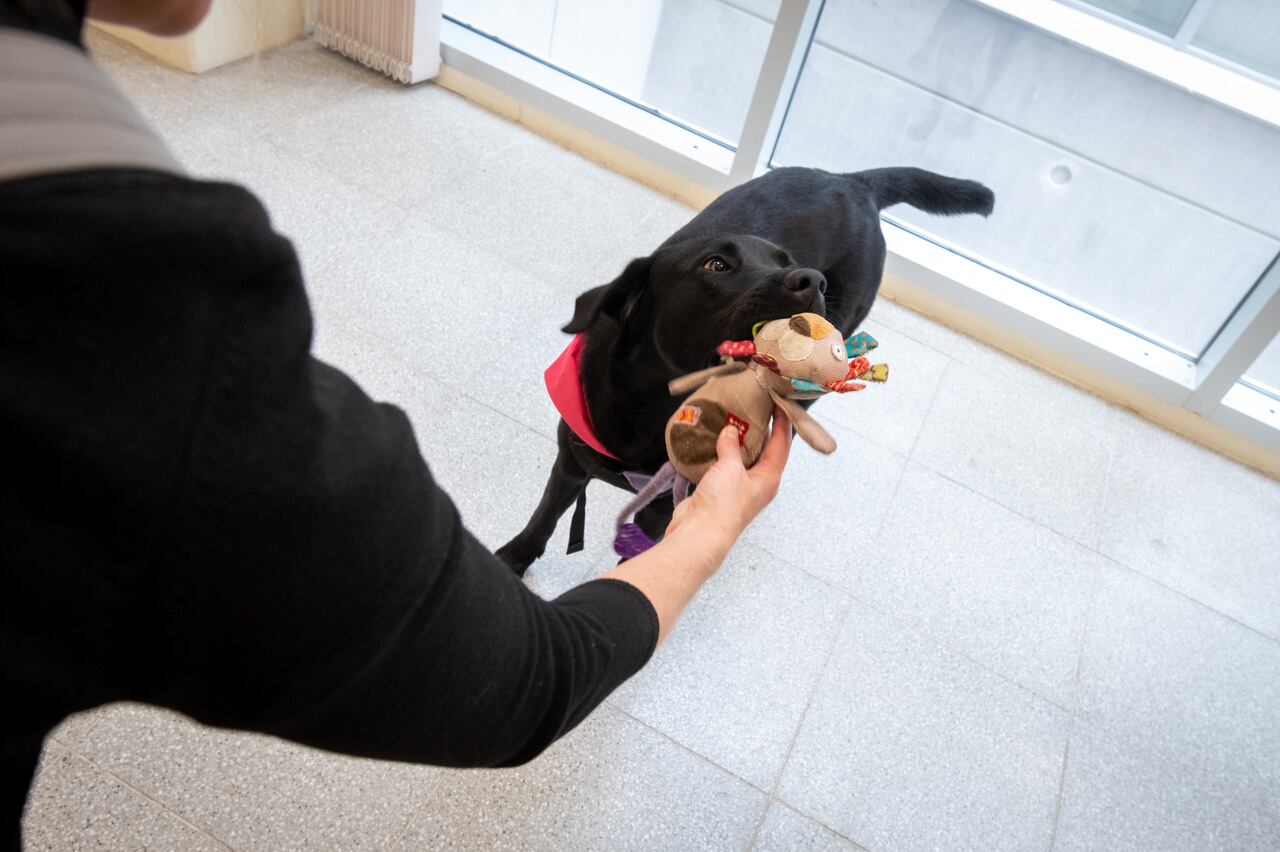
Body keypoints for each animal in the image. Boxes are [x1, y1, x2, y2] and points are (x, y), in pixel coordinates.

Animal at [496, 165, 988, 573]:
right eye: (716, 264)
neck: (653, 405)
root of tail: (855, 182)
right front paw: (515, 558)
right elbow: (545, 514)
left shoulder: (669, 509)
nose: (814, 280)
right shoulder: (570, 461)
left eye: (788, 263)